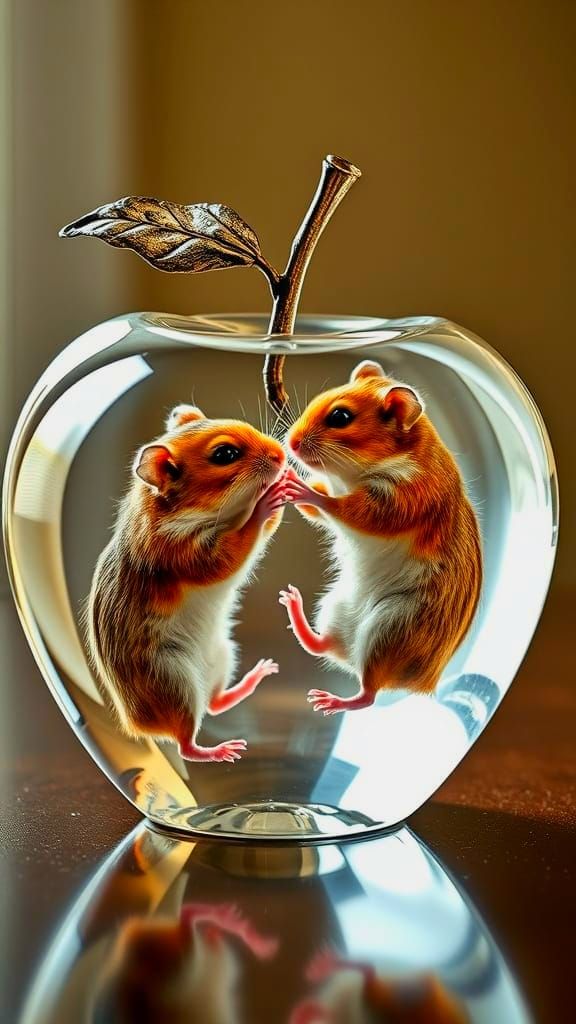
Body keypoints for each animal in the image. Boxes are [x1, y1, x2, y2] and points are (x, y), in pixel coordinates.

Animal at [87, 404, 288, 762]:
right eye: (225, 454)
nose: (280, 454)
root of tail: (138, 727)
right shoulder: (185, 553)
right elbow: (241, 542)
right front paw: (265, 501)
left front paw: (285, 479)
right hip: (176, 685)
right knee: (186, 742)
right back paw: (219, 751)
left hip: (224, 655)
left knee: (215, 703)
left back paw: (259, 674)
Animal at [279, 360, 482, 714]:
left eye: (340, 417)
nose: (291, 443)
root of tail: (423, 686)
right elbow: (320, 508)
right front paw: (290, 478)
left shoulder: (397, 501)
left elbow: (342, 509)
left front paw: (304, 487)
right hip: (334, 607)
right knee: (322, 647)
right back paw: (294, 606)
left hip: (387, 630)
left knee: (368, 695)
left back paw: (333, 701)